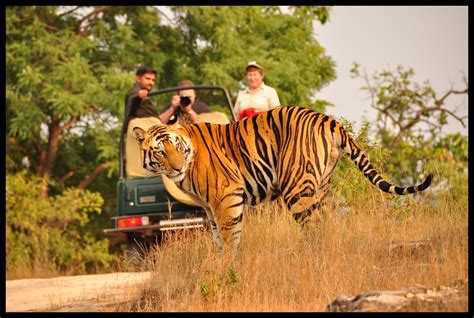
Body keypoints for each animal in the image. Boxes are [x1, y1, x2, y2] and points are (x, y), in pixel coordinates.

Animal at [131, 105, 432, 252]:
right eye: (160, 151)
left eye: (176, 147)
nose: (177, 168)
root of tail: (328, 119)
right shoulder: (209, 207)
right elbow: (218, 239)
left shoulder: (226, 197)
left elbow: (230, 238)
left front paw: (228, 269)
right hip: (321, 186)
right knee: (326, 224)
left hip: (297, 188)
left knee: (313, 228)